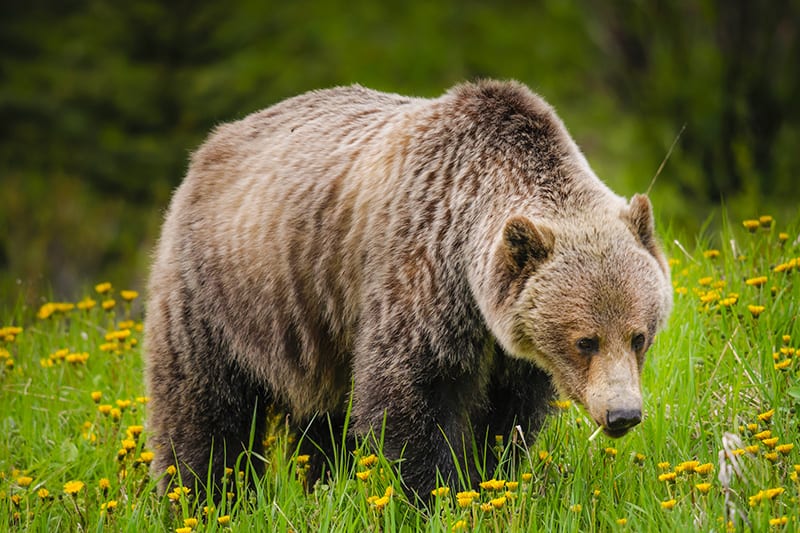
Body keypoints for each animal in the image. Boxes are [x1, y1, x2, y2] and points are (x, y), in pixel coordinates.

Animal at [142, 81, 668, 496]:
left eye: (639, 336)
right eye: (586, 341)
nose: (623, 414)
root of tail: (210, 146)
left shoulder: (509, 347)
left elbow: (506, 420)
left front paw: (490, 478)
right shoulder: (420, 270)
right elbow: (411, 397)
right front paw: (434, 493)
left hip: (316, 333)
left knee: (322, 424)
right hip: (222, 293)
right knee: (203, 412)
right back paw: (203, 499)